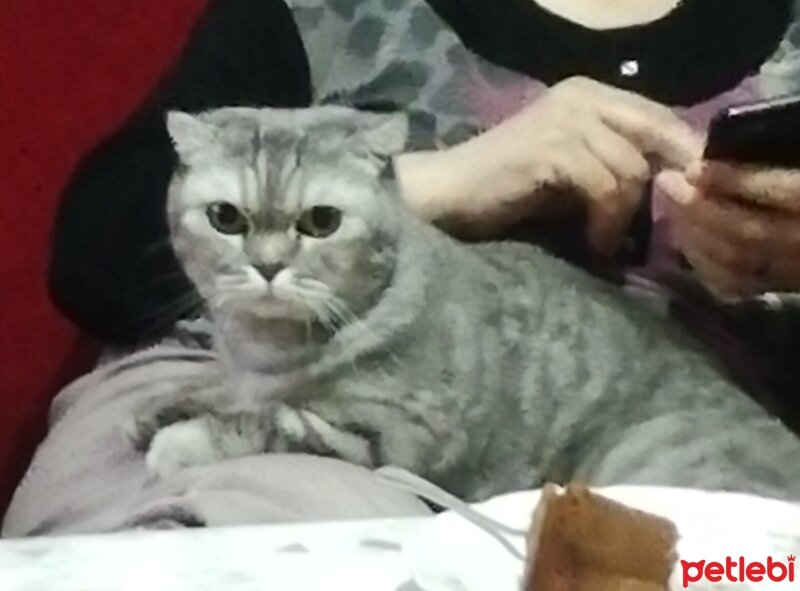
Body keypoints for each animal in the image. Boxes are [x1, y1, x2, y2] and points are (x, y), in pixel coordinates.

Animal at [131, 106, 800, 504]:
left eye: (321, 222)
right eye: (225, 218)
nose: (267, 267)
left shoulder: (389, 436)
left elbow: (272, 422)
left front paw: (184, 440)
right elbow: (230, 397)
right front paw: (172, 407)